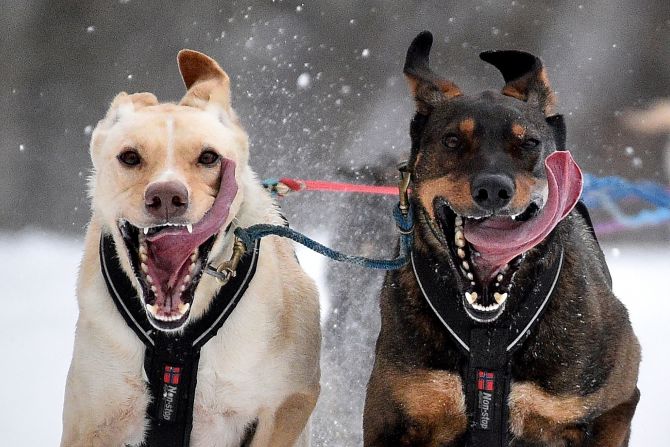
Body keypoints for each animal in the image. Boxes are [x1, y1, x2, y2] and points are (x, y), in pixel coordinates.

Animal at [59, 50, 320, 447]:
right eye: (130, 157)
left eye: (209, 157)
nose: (166, 196)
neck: (175, 340)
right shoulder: (92, 421)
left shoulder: (287, 403)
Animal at [364, 31, 644, 447]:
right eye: (452, 140)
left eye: (528, 143)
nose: (493, 190)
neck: (490, 332)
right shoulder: (395, 416)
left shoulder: (614, 405)